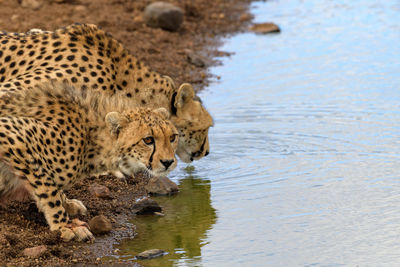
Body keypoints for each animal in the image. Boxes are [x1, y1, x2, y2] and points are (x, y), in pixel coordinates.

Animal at [0, 81, 178, 243]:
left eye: (172, 137)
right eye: (148, 140)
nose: (168, 162)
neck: (90, 136)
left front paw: (67, 204)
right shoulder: (12, 134)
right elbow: (48, 189)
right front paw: (64, 226)